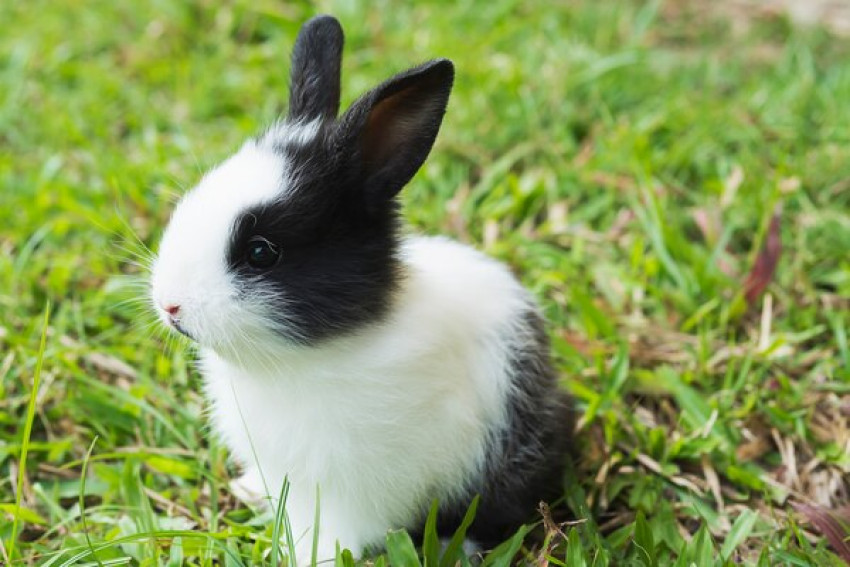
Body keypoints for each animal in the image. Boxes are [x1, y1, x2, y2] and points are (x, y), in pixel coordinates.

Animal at [150, 14, 574, 564]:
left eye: (262, 253)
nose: (169, 304)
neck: (303, 357)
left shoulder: (348, 493)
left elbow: (337, 533)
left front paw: (314, 557)